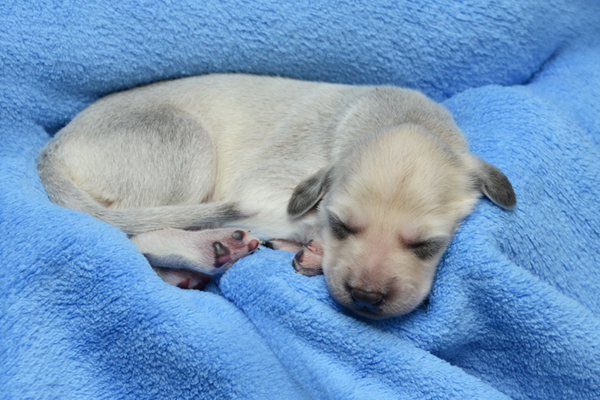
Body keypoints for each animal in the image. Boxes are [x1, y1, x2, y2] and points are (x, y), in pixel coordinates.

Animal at [37, 74, 516, 318]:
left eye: (428, 245)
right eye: (342, 225)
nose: (365, 300)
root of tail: (52, 149)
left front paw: (307, 252)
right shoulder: (266, 191)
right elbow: (299, 219)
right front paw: (311, 246)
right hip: (186, 145)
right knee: (141, 231)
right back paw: (209, 249)